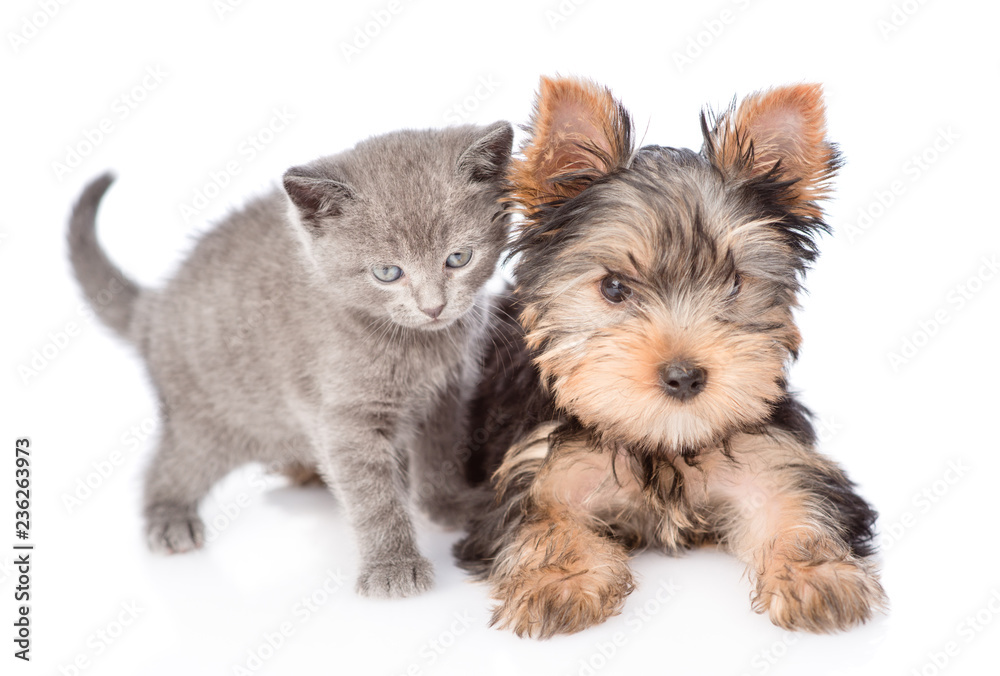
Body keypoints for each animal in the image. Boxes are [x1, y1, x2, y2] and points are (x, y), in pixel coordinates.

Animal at [68, 121, 516, 596]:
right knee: (168, 466)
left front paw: (447, 505)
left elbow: (440, 453)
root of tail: (153, 308)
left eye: (458, 258)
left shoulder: (446, 395)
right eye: (388, 273)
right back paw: (169, 519)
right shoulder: (344, 418)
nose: (434, 307)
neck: (417, 345)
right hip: (208, 425)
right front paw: (393, 565)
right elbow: (372, 496)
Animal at [458, 76, 888, 636]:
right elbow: (542, 516)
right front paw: (561, 579)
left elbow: (798, 502)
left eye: (734, 283)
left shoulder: (773, 455)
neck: (662, 442)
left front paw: (817, 574)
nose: (684, 376)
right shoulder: (533, 466)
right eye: (614, 288)